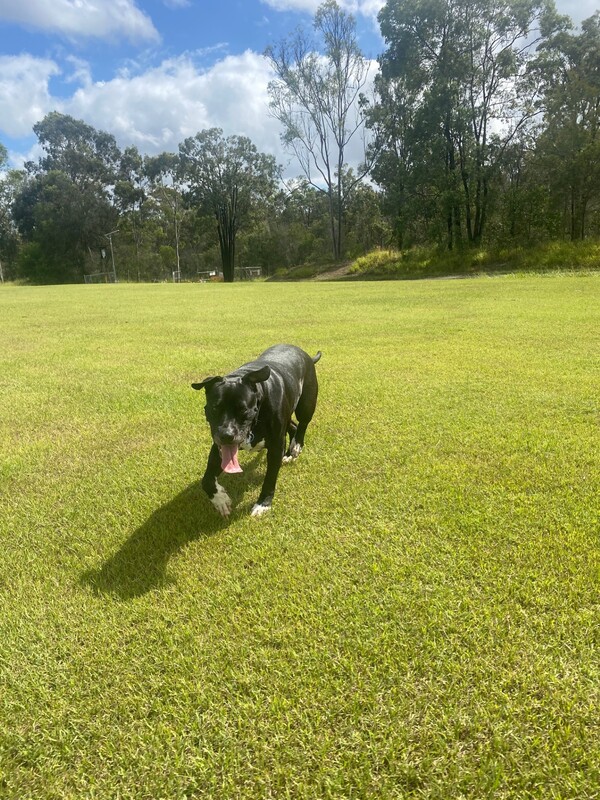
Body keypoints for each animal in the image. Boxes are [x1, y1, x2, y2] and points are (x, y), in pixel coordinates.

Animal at [192, 344, 321, 517]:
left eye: (243, 410)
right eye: (214, 408)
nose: (226, 435)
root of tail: (306, 355)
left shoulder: (276, 446)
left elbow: (270, 478)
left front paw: (263, 503)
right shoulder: (218, 446)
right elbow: (206, 480)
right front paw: (220, 499)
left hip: (306, 404)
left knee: (303, 423)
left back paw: (296, 446)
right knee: (293, 425)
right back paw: (289, 453)